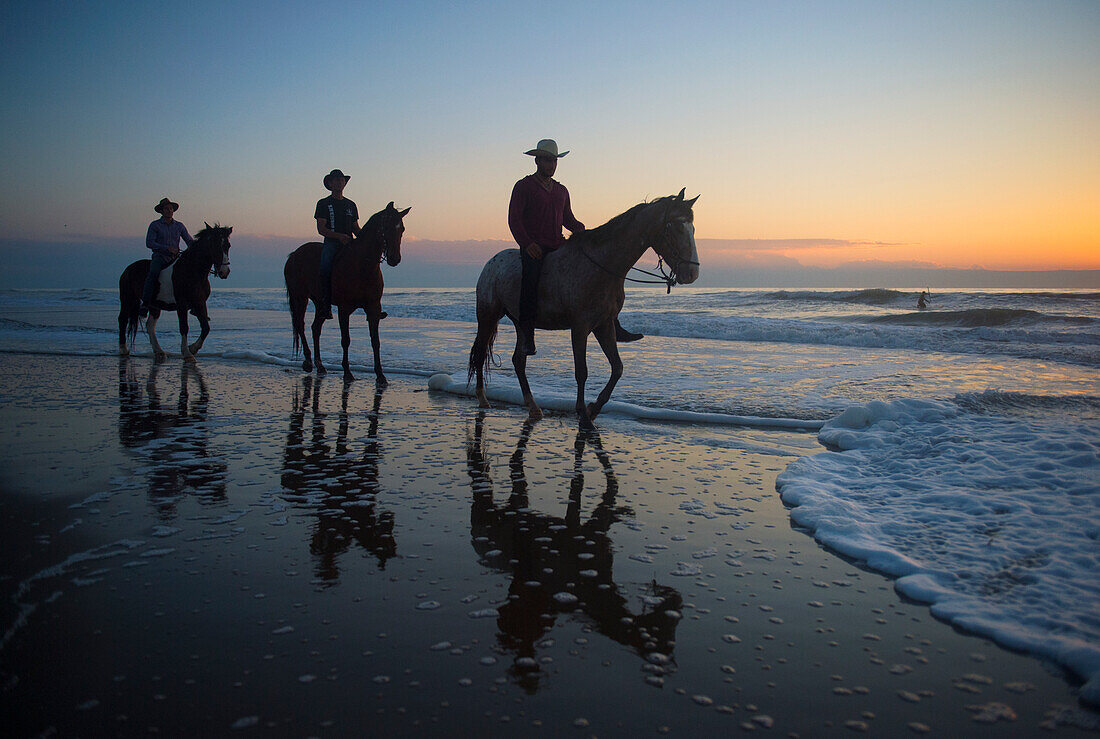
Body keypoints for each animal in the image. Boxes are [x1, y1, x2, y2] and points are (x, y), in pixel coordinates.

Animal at [118, 225, 232, 362]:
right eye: (214, 244)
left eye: (228, 245)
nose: (224, 272)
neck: (193, 271)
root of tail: (127, 269)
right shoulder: (181, 304)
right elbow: (184, 327)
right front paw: (187, 353)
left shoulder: (200, 303)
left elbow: (205, 327)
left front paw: (193, 348)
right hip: (127, 299)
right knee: (122, 320)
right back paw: (123, 349)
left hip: (154, 305)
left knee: (150, 325)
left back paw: (159, 351)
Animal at [283, 203, 413, 387]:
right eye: (386, 227)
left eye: (401, 228)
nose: (395, 258)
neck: (362, 266)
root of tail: (294, 254)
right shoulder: (344, 309)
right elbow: (346, 340)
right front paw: (347, 372)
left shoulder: (373, 308)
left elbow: (375, 341)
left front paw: (380, 375)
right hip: (299, 297)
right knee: (300, 325)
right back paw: (308, 362)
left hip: (320, 303)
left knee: (315, 328)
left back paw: (320, 365)